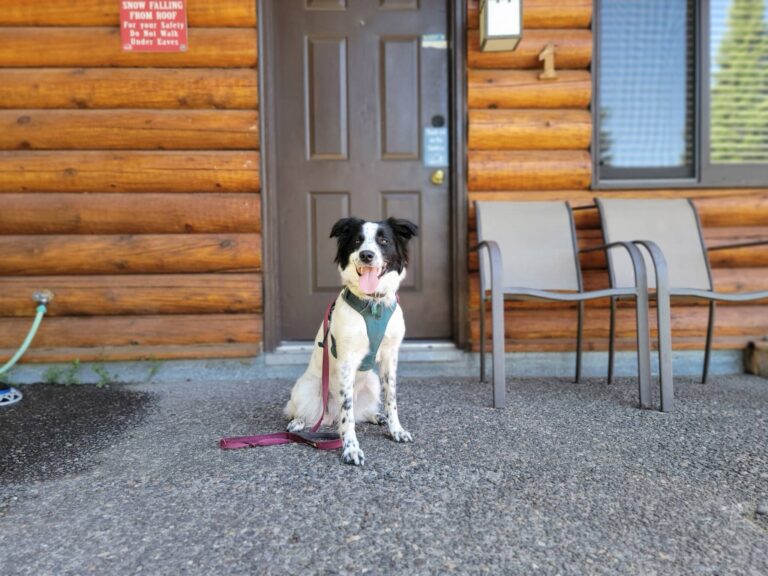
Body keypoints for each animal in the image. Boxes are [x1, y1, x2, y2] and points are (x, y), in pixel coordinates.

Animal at [282, 216, 416, 464]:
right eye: (357, 241)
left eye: (383, 240)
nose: (366, 255)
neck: (373, 305)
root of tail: (329, 414)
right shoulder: (346, 361)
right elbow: (348, 415)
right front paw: (351, 448)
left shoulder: (390, 357)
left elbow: (391, 399)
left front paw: (396, 430)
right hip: (306, 387)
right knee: (306, 412)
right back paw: (298, 422)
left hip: (371, 382)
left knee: (359, 411)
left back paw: (375, 416)